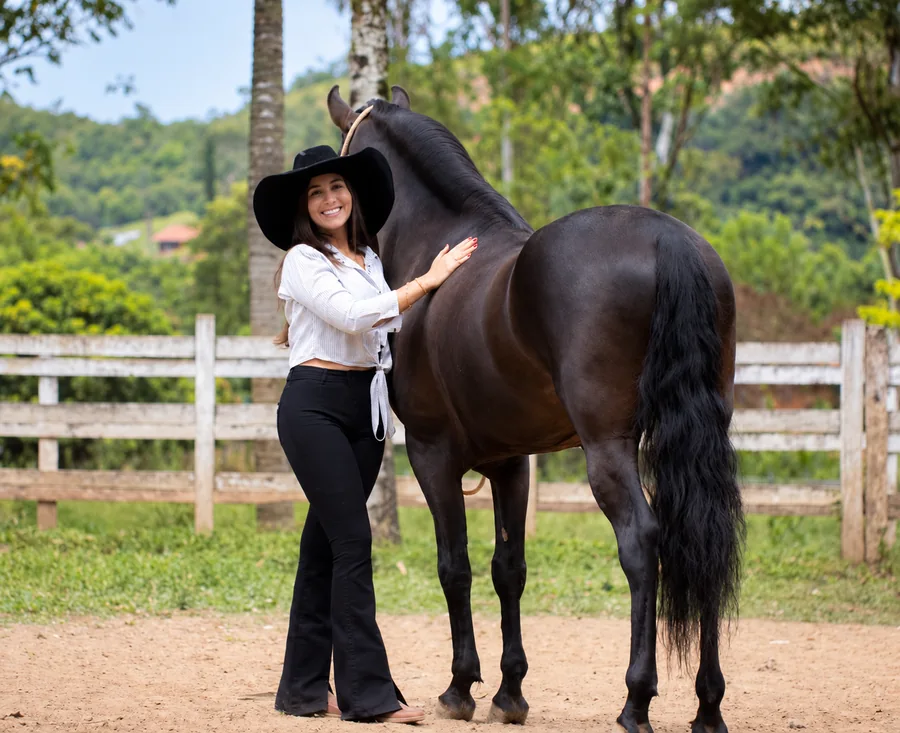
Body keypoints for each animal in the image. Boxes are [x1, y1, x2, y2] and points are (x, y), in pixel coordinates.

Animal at [326, 84, 744, 733]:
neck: (443, 239)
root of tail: (667, 239)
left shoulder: (431, 453)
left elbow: (454, 566)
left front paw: (461, 687)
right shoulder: (511, 461)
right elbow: (509, 569)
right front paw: (510, 692)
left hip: (608, 447)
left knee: (642, 541)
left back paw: (636, 700)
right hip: (700, 433)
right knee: (703, 538)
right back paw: (707, 705)